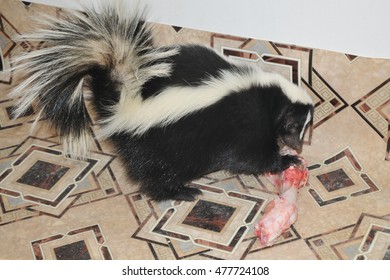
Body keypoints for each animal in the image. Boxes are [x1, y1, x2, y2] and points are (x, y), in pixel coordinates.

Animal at [9, 0, 314, 201]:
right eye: (292, 126)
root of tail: (123, 98)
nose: (298, 146)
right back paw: (181, 192)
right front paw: (286, 160)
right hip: (155, 145)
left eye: (303, 128)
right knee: (154, 173)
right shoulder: (243, 124)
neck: (265, 93)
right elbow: (250, 157)